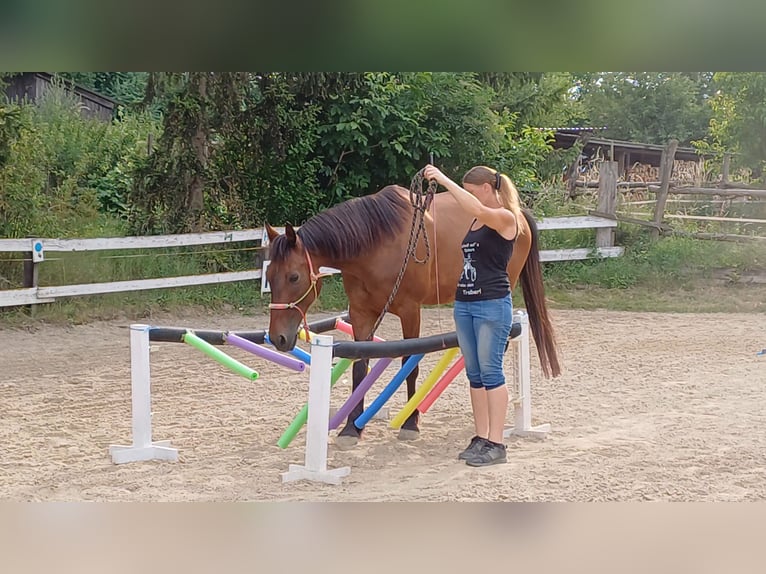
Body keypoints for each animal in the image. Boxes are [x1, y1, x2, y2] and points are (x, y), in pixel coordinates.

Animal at [268, 184, 560, 450]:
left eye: (293, 277)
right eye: (269, 276)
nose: (277, 338)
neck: (376, 244)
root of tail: (515, 212)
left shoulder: (410, 311)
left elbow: (410, 363)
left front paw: (410, 423)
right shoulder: (361, 314)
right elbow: (359, 367)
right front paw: (351, 428)